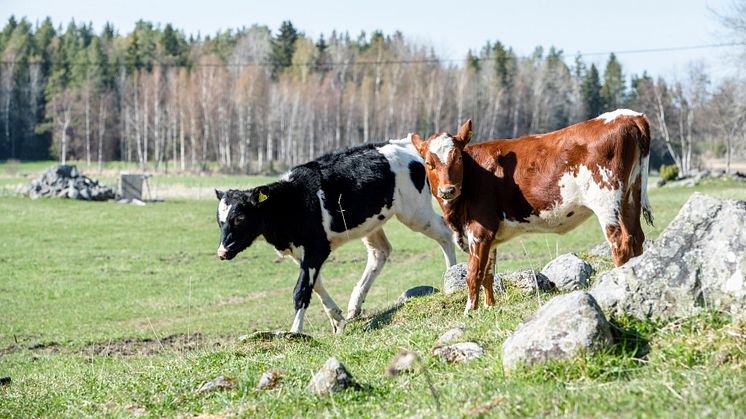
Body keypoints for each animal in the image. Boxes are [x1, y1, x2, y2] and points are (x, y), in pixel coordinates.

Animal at [215, 138, 456, 334]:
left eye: (240, 218)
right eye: (220, 220)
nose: (222, 252)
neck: (292, 200)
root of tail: (406, 143)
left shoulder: (317, 247)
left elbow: (301, 290)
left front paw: (295, 332)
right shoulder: (301, 252)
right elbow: (316, 285)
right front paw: (337, 319)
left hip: (415, 212)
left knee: (445, 232)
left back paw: (452, 276)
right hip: (373, 223)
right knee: (380, 252)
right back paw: (354, 306)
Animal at [410, 110, 652, 314]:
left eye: (458, 158)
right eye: (429, 163)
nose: (447, 190)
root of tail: (629, 116)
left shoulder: (480, 230)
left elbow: (474, 273)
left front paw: (470, 311)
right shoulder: (491, 233)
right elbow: (488, 272)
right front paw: (489, 307)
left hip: (606, 198)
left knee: (620, 242)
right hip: (631, 194)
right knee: (636, 237)